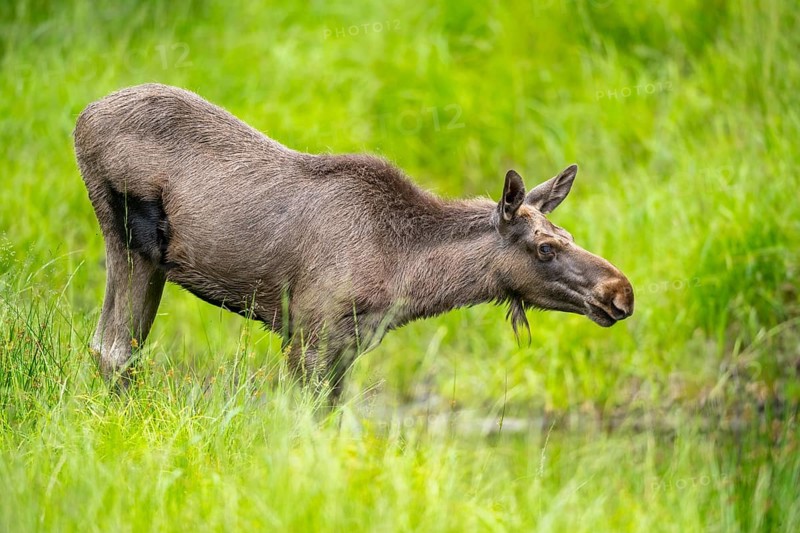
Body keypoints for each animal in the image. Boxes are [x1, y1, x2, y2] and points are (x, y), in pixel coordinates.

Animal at [74, 83, 634, 402]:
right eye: (544, 248)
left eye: (568, 234)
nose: (621, 292)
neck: (406, 276)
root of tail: (82, 117)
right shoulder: (307, 337)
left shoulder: (347, 347)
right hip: (130, 240)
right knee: (113, 348)